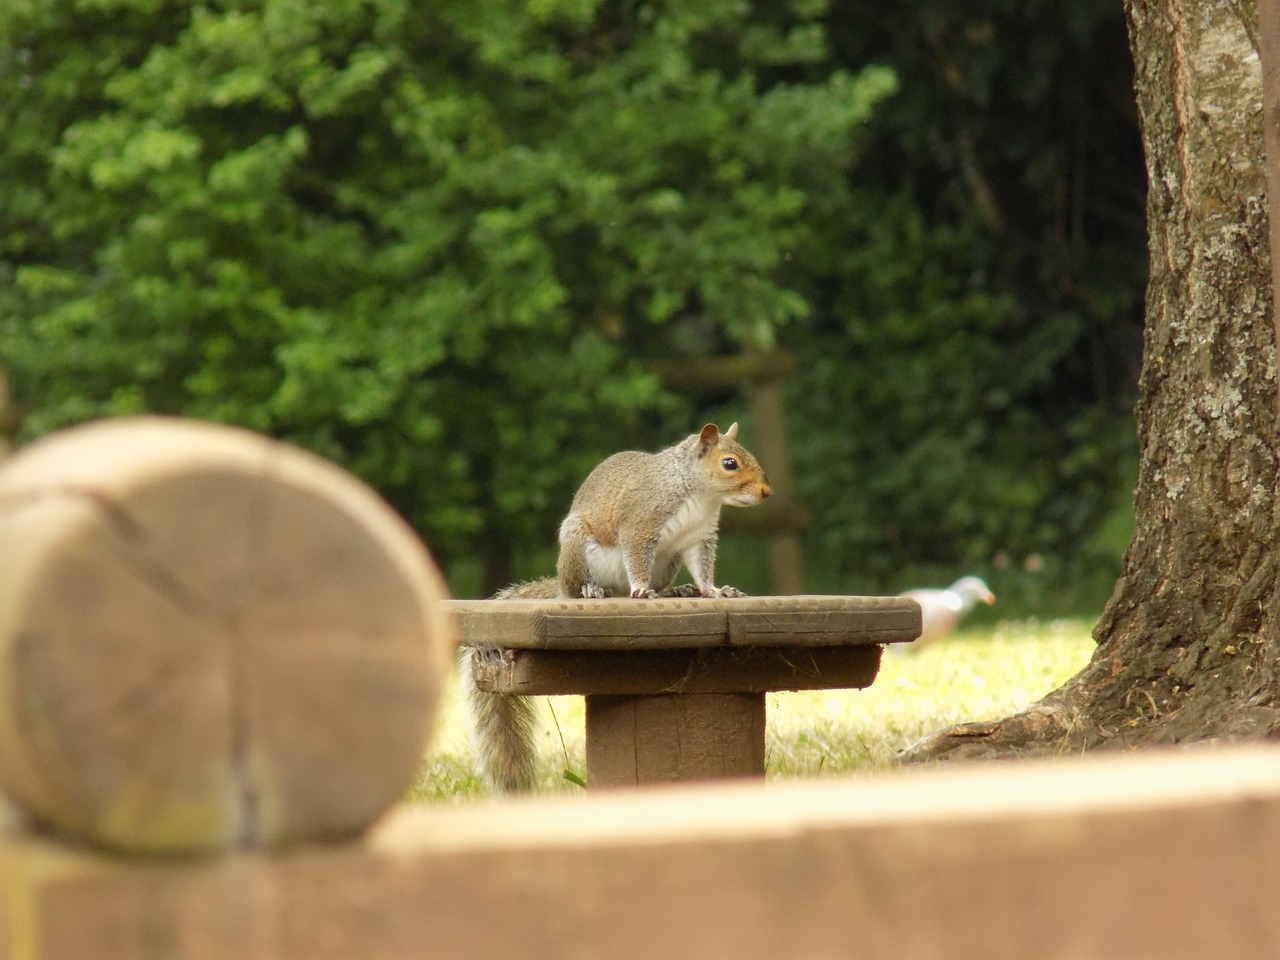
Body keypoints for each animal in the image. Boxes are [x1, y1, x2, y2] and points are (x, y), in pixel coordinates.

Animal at [465, 424, 773, 793]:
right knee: (589, 588)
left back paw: (674, 590)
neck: (699, 494)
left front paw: (714, 590)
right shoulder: (640, 524)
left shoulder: (698, 537)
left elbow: (702, 570)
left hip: (667, 562)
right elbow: (636, 557)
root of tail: (561, 586)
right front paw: (641, 588)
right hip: (579, 547)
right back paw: (595, 590)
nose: (766, 492)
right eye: (730, 463)